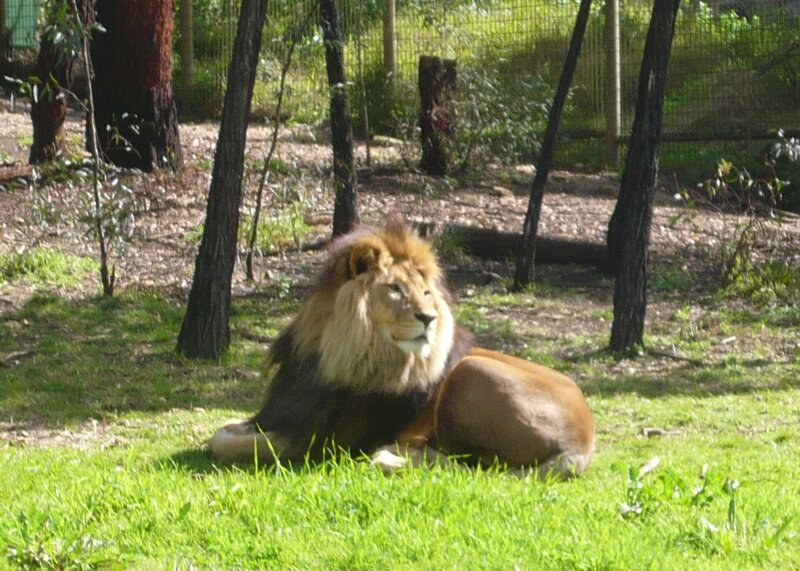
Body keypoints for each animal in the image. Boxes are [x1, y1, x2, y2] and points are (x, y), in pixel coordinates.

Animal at [208, 218, 595, 479]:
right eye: (394, 289)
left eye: (425, 292)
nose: (429, 317)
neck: (329, 350)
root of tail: (583, 445)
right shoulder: (283, 412)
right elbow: (228, 429)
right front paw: (231, 428)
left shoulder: (322, 441)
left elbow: (228, 445)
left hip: (469, 373)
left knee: (469, 462)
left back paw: (390, 454)